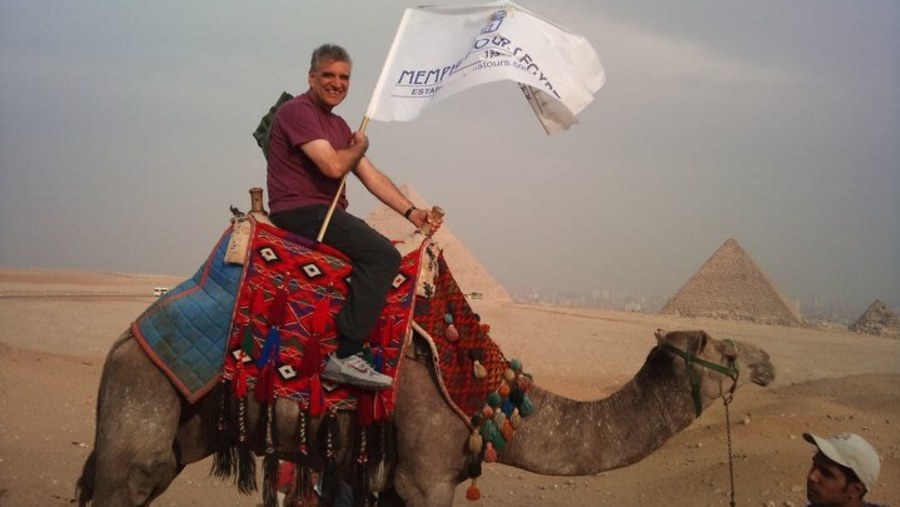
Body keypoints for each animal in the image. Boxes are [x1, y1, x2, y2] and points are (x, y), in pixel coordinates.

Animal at [75, 324, 772, 506]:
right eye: (727, 350)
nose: (767, 362)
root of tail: (119, 345)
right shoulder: (426, 477)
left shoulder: (392, 479)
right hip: (138, 414)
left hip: (167, 441)